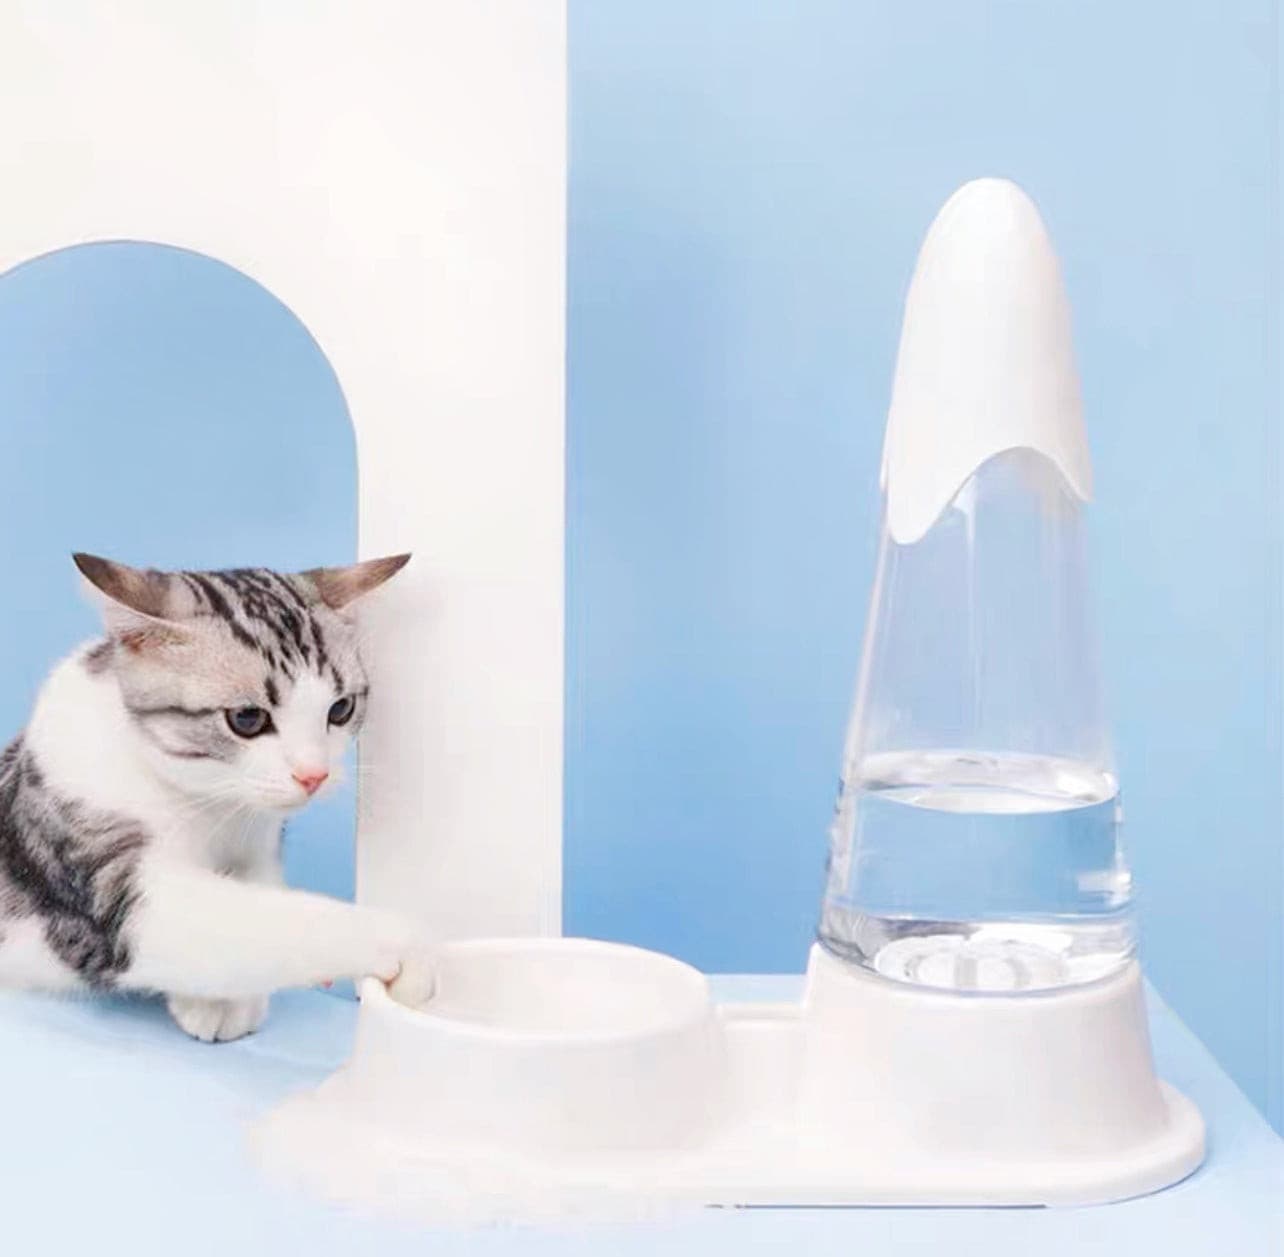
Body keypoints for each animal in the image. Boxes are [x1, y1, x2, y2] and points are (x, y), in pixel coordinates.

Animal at [0, 549, 436, 1042]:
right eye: (246, 718)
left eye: (341, 709)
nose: (314, 775)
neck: (207, 802)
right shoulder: (114, 878)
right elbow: (264, 920)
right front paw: (408, 946)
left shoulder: (262, 845)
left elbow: (260, 892)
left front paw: (220, 1002)